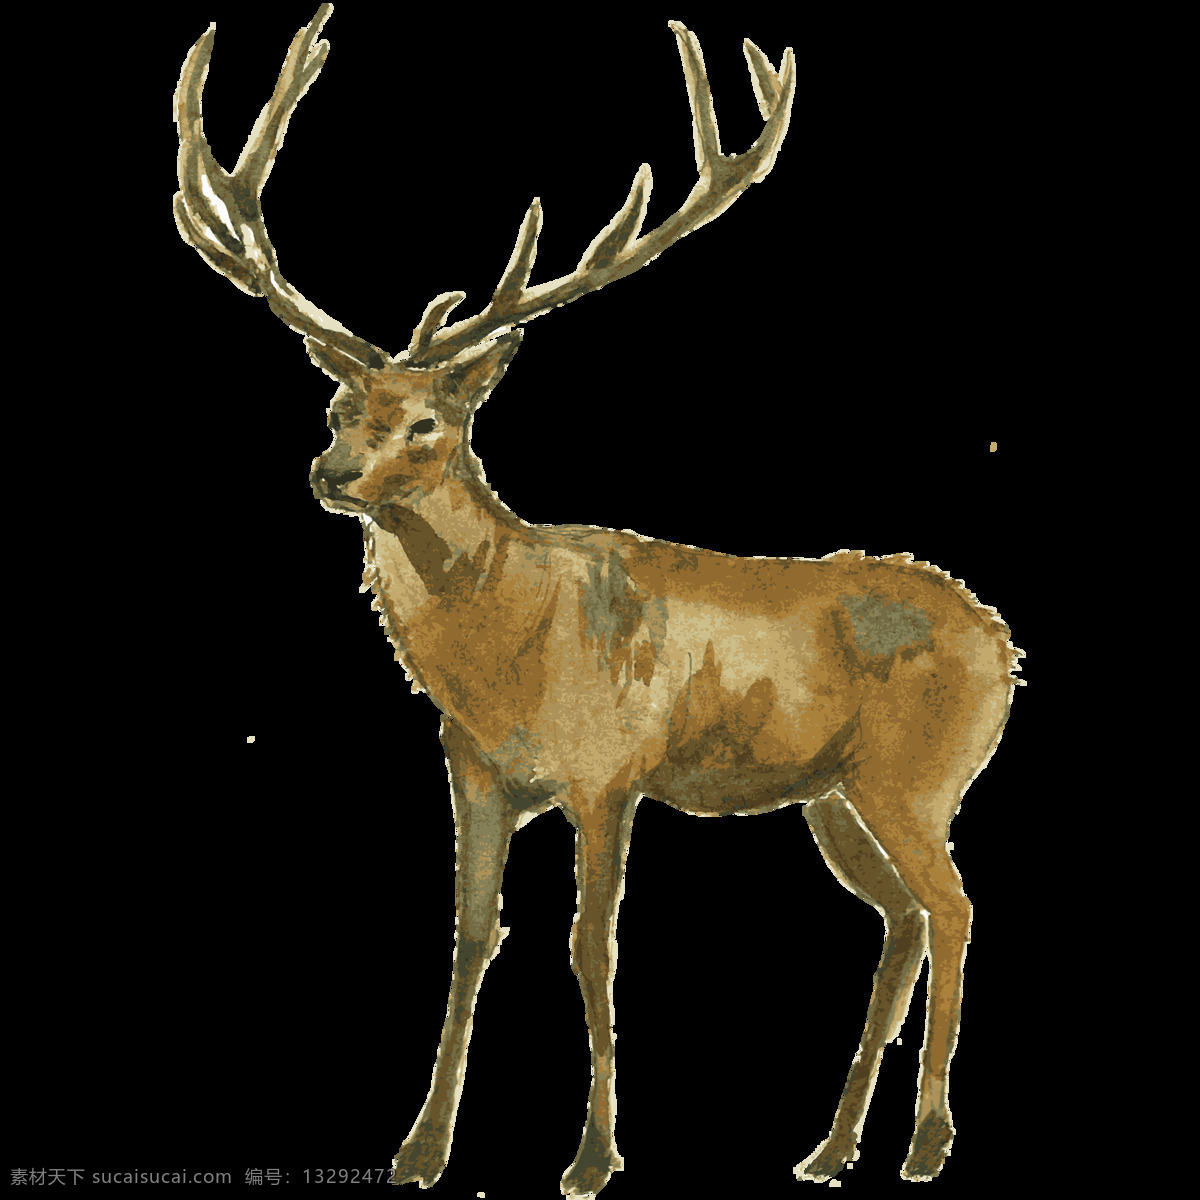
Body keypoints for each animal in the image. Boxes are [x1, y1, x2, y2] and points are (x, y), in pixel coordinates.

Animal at [174, 5, 1021, 1194]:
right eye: (340, 406)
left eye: (430, 422)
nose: (329, 474)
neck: (506, 654)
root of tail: (1001, 638)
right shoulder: (476, 771)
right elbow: (470, 939)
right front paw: (420, 1149)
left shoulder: (609, 768)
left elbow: (590, 946)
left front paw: (592, 1155)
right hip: (833, 793)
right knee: (901, 918)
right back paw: (830, 1147)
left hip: (918, 777)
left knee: (954, 906)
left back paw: (928, 1143)